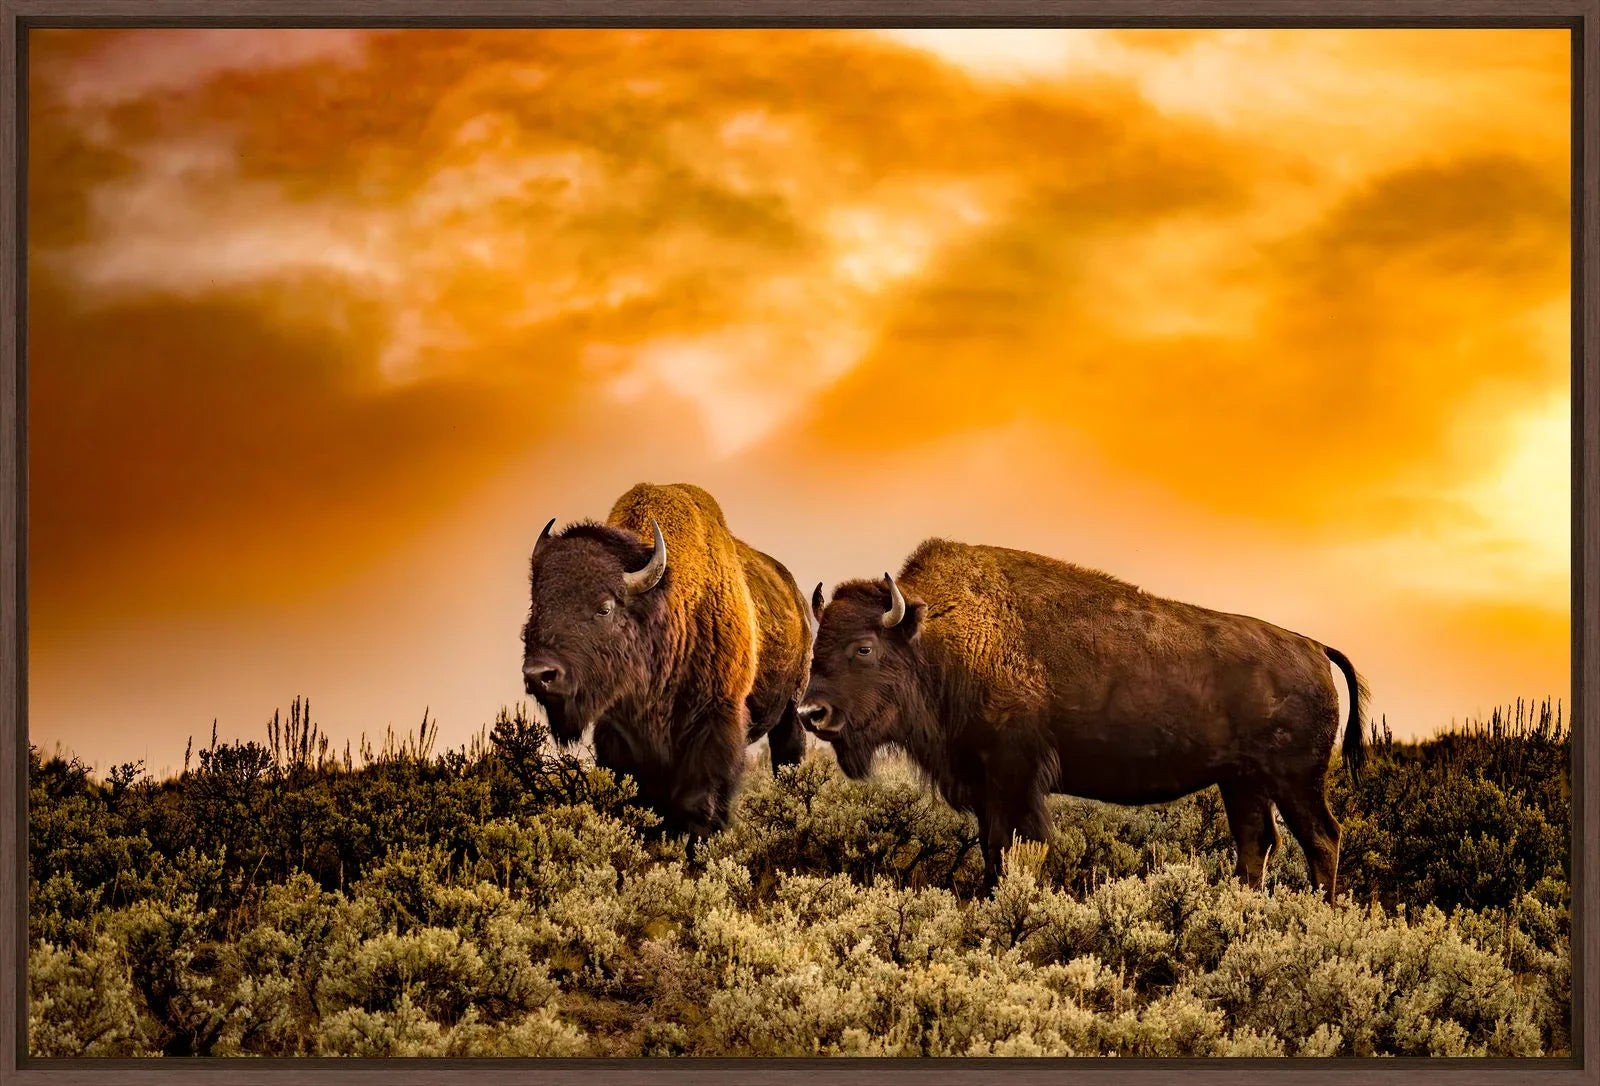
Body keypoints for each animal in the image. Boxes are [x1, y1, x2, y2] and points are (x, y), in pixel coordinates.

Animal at [522, 483, 810, 838]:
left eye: (604, 607)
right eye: (536, 606)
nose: (539, 674)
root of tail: (796, 597)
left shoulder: (716, 721)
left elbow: (698, 804)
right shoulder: (618, 733)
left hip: (789, 711)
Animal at [800, 538, 1367, 897]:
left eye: (865, 648)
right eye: (816, 646)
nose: (811, 712)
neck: (940, 637)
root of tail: (1313, 647)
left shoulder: (1012, 776)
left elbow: (1007, 846)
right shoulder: (984, 783)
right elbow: (993, 848)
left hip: (1295, 780)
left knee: (1322, 837)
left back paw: (1319, 913)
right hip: (1243, 781)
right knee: (1257, 841)